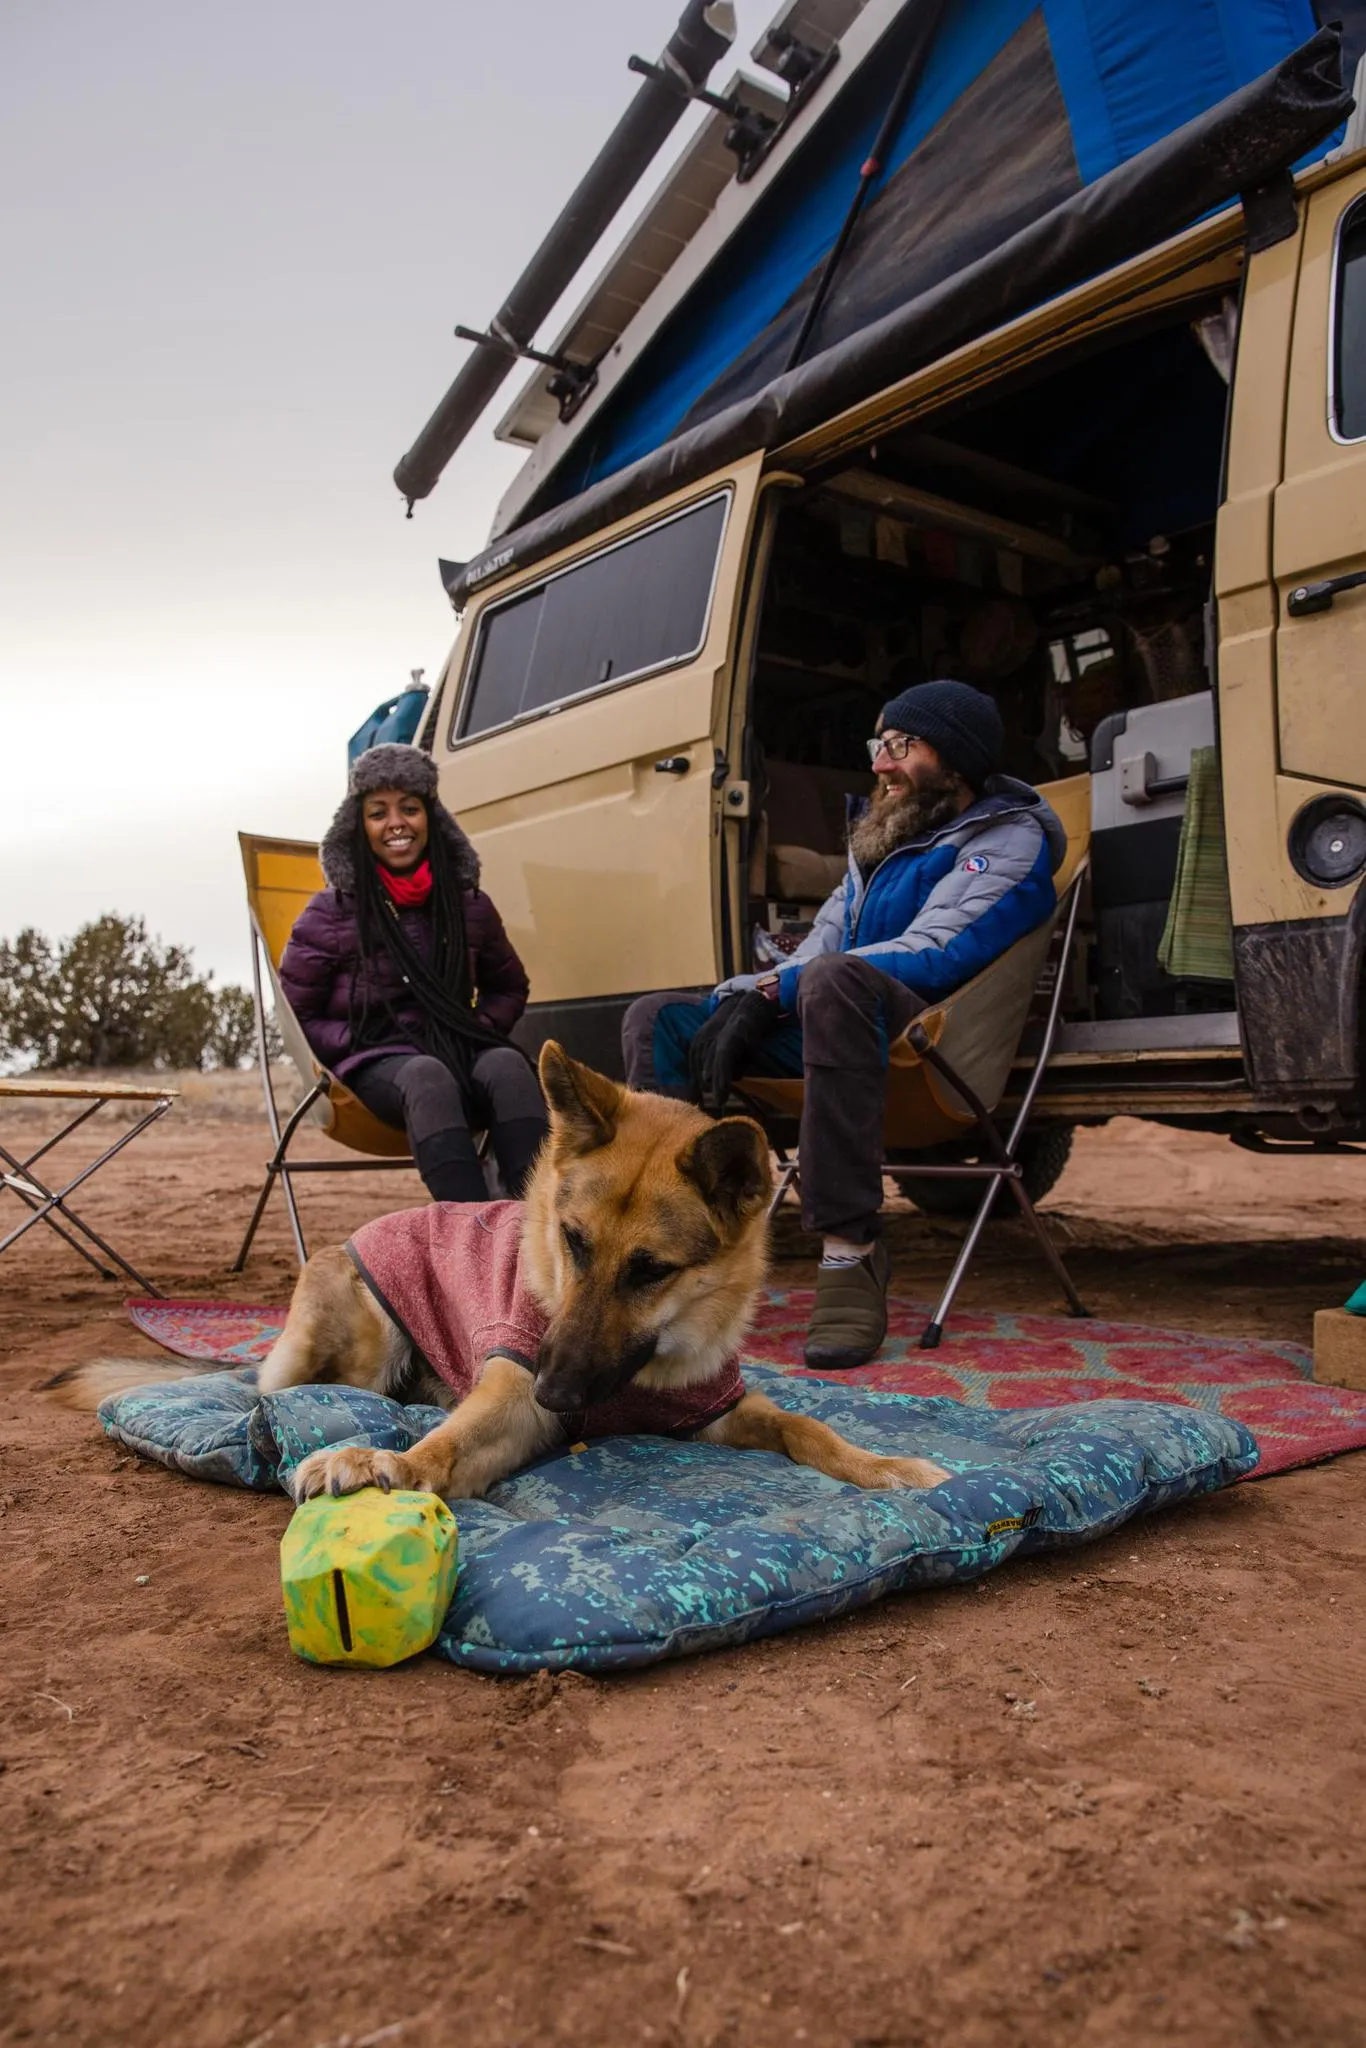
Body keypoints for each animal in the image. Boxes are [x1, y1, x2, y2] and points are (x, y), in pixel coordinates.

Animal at [53, 1048, 950, 1499]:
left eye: (650, 1271)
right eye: (572, 1242)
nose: (555, 1391)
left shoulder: (720, 1408)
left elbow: (806, 1427)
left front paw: (887, 1467)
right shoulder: (513, 1394)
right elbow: (451, 1446)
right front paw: (389, 1463)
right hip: (366, 1336)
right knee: (278, 1390)